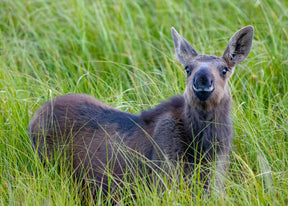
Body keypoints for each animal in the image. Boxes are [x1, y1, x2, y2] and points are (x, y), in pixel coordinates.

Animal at [28, 25, 254, 195]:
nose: (202, 80)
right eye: (188, 69)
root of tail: (34, 118)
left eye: (224, 69)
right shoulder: (164, 181)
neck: (205, 145)